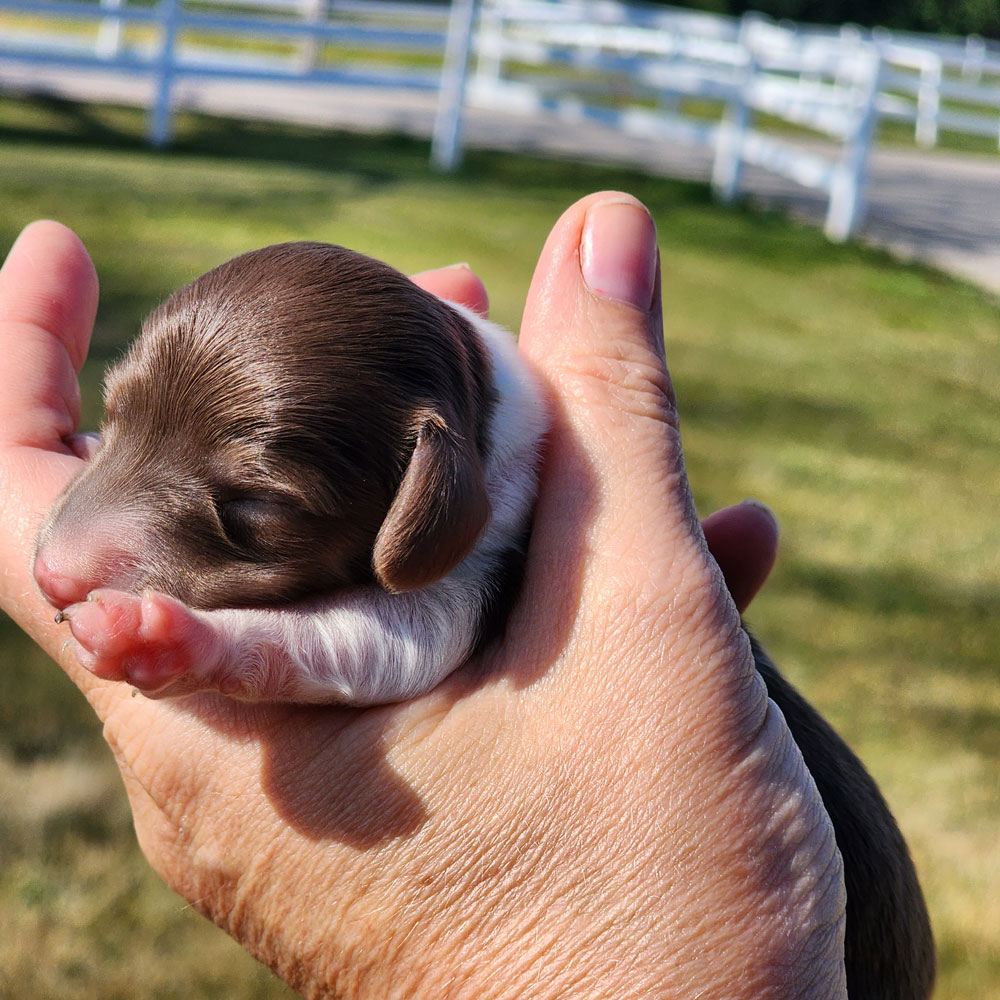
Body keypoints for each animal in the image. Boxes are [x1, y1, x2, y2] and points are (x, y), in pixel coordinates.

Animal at [35, 238, 932, 996]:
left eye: (255, 507)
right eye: (115, 411)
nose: (50, 572)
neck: (482, 415)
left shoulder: (464, 591)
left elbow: (364, 640)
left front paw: (178, 639)